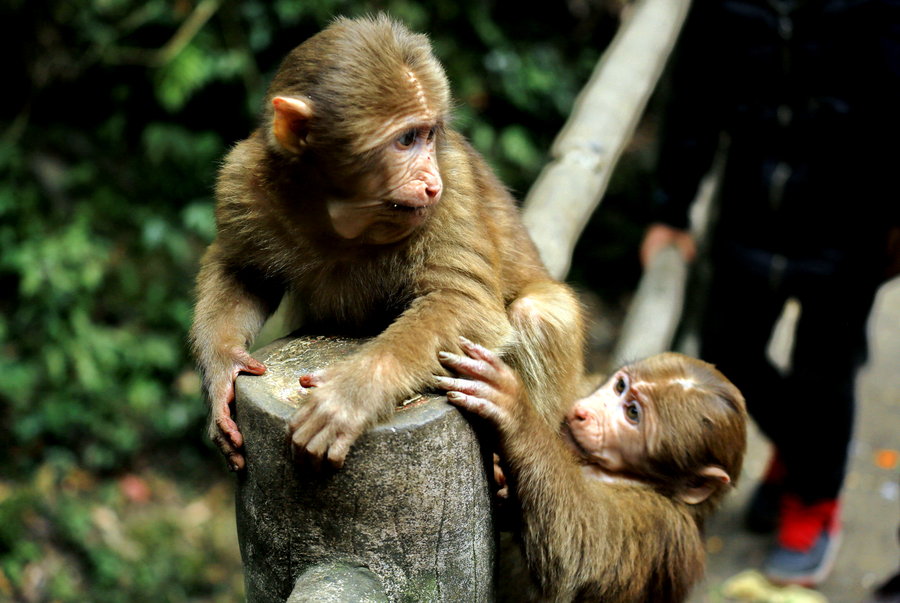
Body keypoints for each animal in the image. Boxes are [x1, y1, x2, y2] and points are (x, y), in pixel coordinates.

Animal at [190, 15, 584, 472]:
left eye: (429, 135)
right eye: (406, 139)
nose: (430, 181)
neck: (343, 215)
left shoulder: (452, 183)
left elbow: (462, 301)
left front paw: (352, 393)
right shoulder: (241, 179)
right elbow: (239, 269)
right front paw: (224, 368)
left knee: (538, 311)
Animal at [436, 340, 744, 603]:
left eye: (633, 413)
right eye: (620, 386)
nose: (585, 413)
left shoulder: (660, 521)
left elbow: (572, 557)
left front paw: (517, 412)